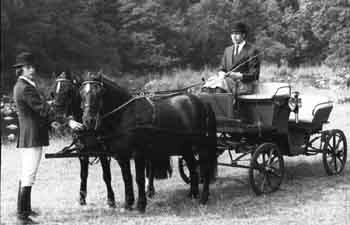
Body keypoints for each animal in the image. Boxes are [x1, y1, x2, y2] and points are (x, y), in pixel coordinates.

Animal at [80, 72, 216, 213]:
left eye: (100, 93)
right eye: (81, 93)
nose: (88, 120)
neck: (126, 114)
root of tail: (202, 102)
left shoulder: (138, 153)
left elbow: (139, 178)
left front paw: (141, 205)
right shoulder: (122, 156)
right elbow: (126, 178)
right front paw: (128, 204)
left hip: (201, 145)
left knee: (205, 168)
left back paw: (203, 198)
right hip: (186, 147)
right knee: (193, 167)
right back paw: (193, 194)